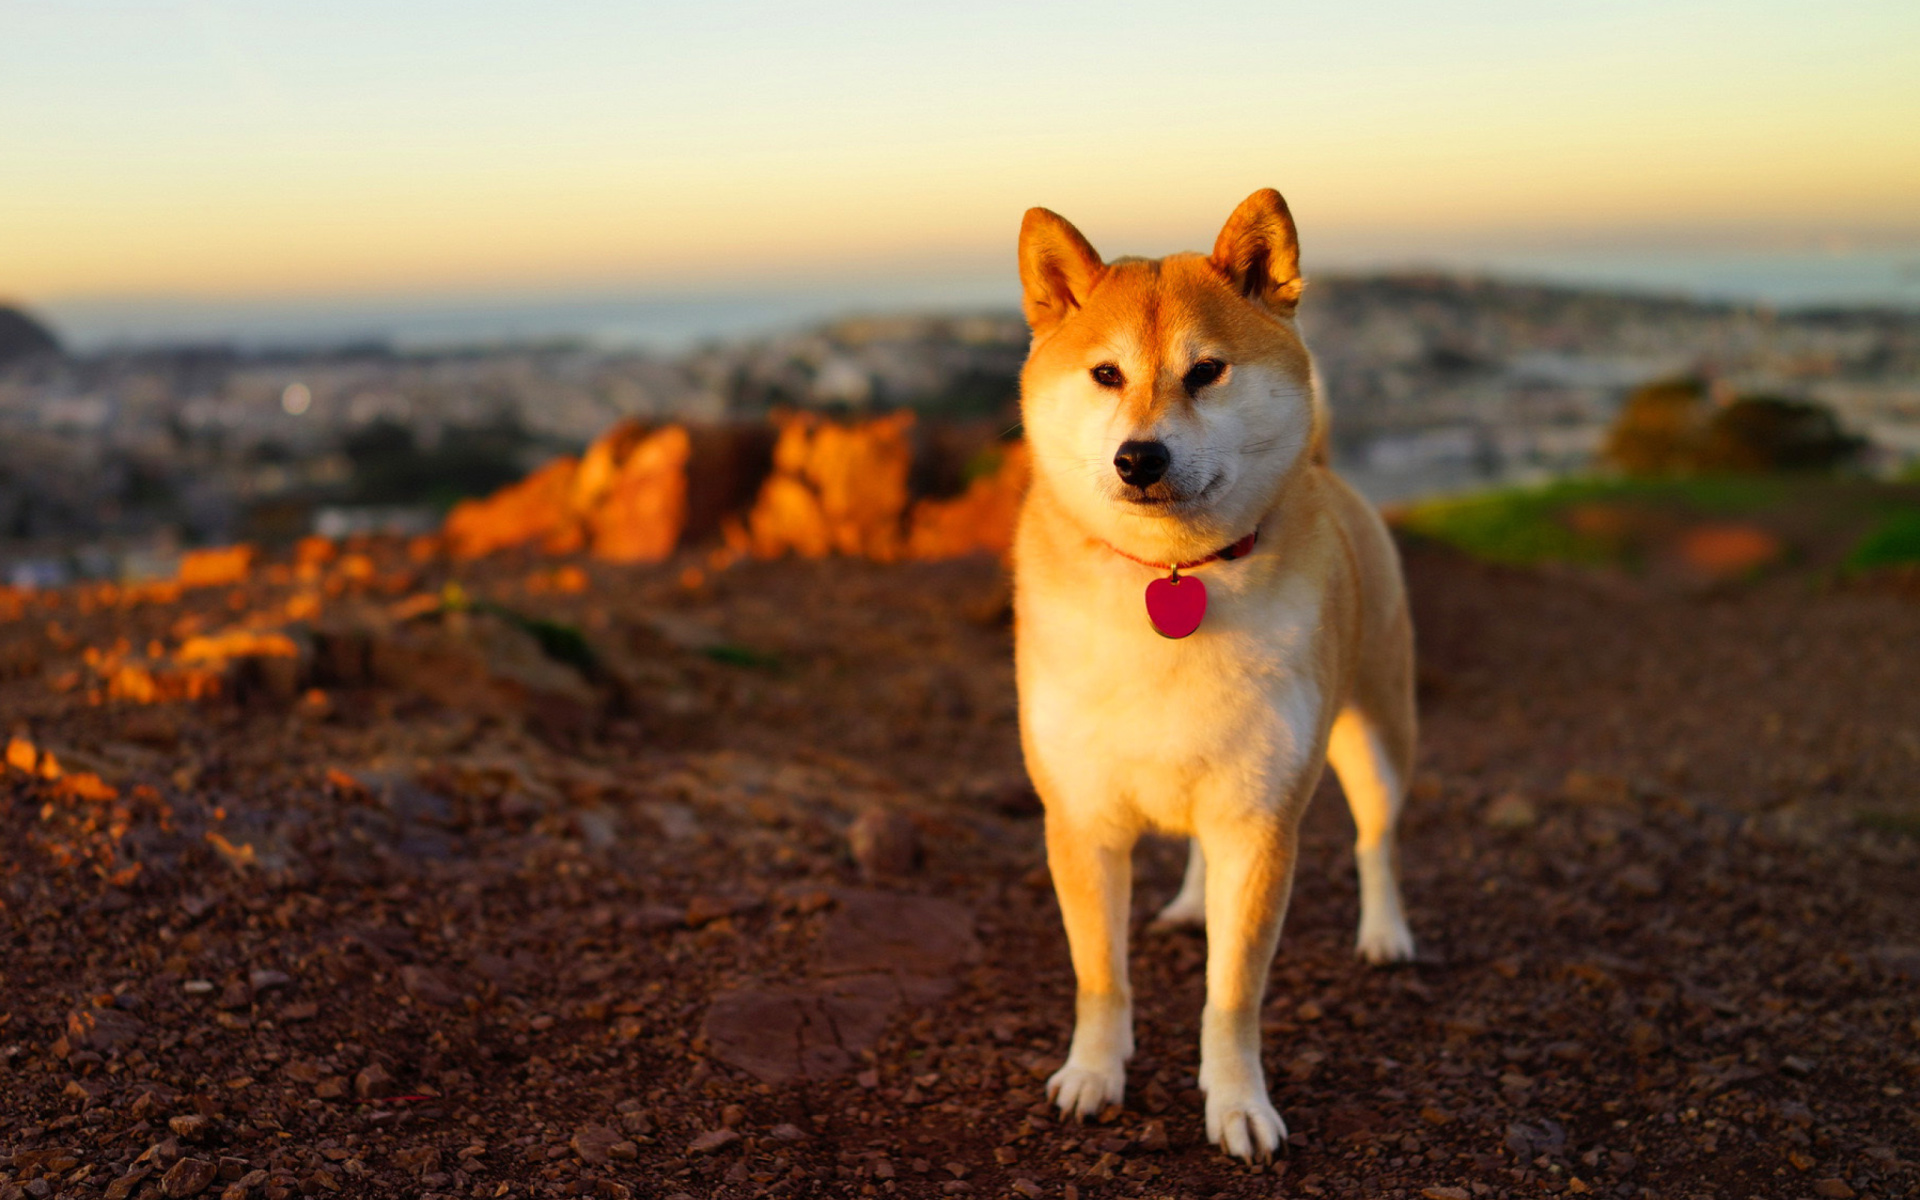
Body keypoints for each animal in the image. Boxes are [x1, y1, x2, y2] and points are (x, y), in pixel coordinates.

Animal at [1013, 189, 1420, 1159]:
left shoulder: (1260, 822)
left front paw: (1238, 1105)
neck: (1173, 577)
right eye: (1106, 375)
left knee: (1376, 839)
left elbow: (1231, 994)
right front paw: (1093, 1075)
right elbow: (1100, 975)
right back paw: (1195, 904)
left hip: (1377, 737)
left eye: (1206, 372)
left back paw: (1385, 932)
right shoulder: (1082, 819)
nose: (1140, 457)